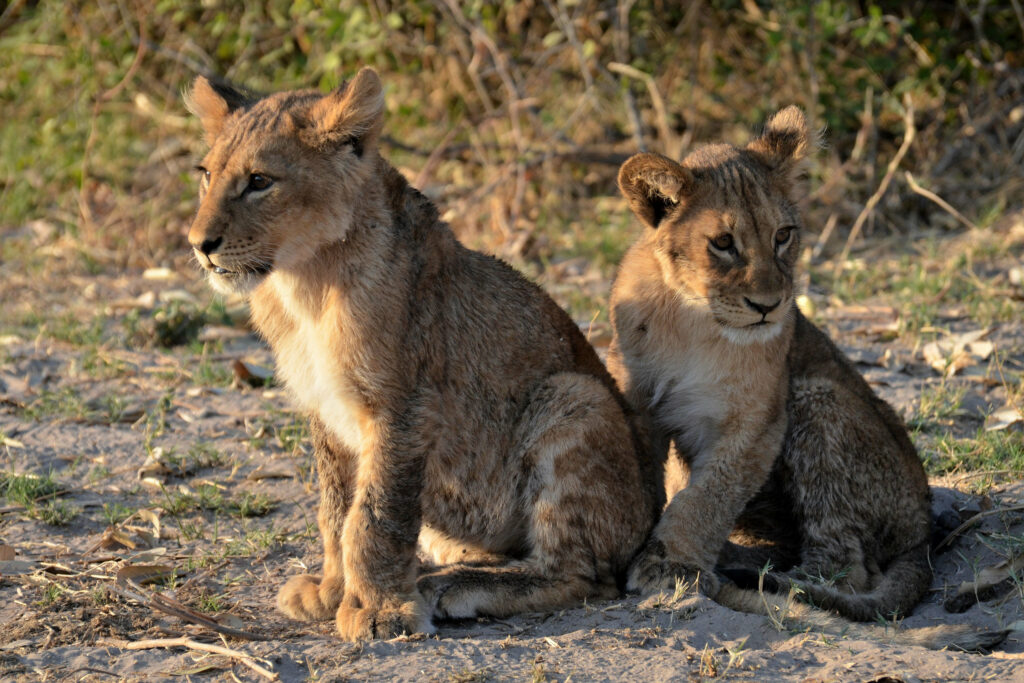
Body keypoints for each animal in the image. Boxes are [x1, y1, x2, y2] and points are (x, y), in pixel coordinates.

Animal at [184, 67, 657, 641]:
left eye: (259, 181)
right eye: (206, 175)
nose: (199, 244)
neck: (305, 284)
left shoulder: (404, 406)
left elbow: (375, 516)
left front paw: (380, 611)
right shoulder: (325, 408)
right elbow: (335, 509)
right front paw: (332, 591)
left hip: (575, 395)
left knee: (584, 574)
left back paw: (453, 588)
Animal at [607, 107, 1007, 651]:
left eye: (783, 235)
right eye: (723, 244)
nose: (769, 305)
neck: (692, 318)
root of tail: (922, 534)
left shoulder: (760, 420)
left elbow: (706, 497)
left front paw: (669, 564)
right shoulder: (639, 399)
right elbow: (663, 482)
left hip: (817, 398)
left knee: (847, 569)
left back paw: (768, 582)